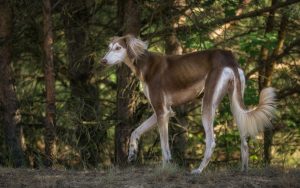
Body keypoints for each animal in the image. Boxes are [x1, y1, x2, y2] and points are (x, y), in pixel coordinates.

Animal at [102, 35, 276, 173]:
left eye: (118, 48)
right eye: (109, 48)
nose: (103, 60)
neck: (146, 64)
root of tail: (228, 56)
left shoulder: (162, 111)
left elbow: (164, 147)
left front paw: (166, 167)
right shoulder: (165, 110)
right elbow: (135, 131)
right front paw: (132, 153)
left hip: (207, 105)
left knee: (211, 141)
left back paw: (199, 170)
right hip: (235, 103)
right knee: (244, 139)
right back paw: (243, 169)